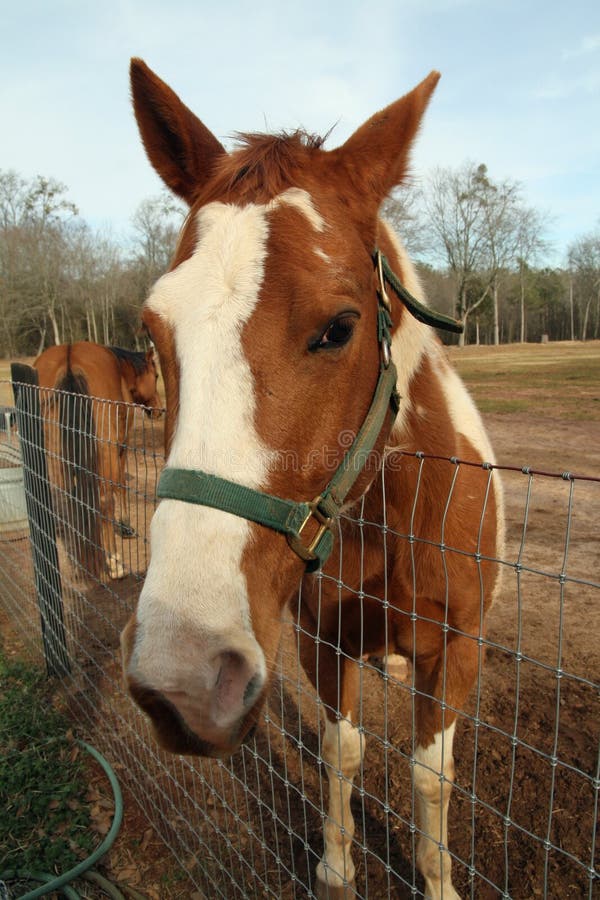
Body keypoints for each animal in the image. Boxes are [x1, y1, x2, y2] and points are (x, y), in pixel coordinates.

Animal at [34, 342, 162, 580]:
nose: (158, 410)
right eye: (156, 375)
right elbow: (120, 486)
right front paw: (125, 526)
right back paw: (114, 561)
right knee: (105, 501)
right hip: (104, 451)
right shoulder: (121, 447)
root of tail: (69, 360)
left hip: (53, 455)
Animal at [120, 58, 502, 900]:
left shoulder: (457, 650)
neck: (396, 516)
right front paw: (335, 864)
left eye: (339, 327)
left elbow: (431, 776)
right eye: (153, 329)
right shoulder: (323, 645)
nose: (183, 681)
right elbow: (341, 753)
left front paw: (437, 879)